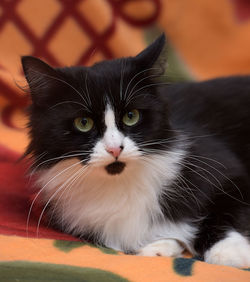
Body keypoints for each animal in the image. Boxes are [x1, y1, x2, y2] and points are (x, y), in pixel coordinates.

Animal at [21, 34, 250, 268]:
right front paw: (158, 248)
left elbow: (228, 209)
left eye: (131, 116)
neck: (119, 184)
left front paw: (229, 252)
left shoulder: (227, 168)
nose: (115, 149)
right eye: (83, 123)